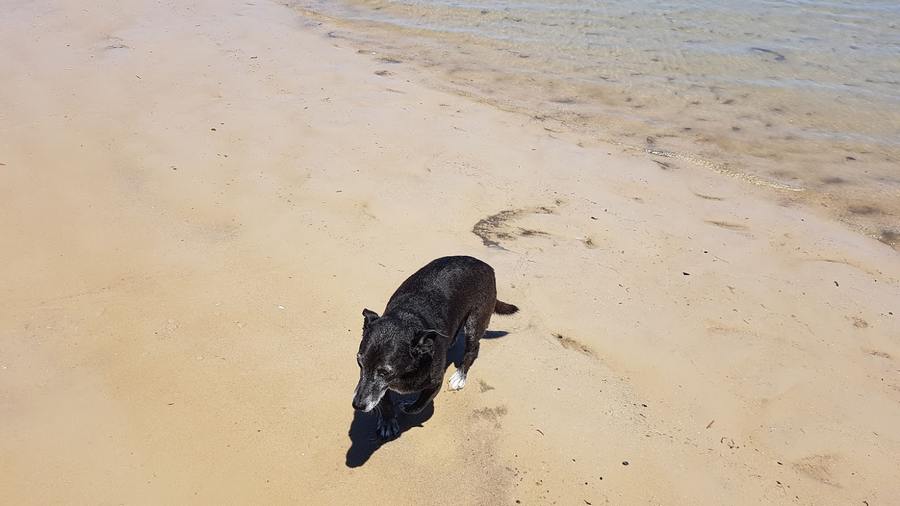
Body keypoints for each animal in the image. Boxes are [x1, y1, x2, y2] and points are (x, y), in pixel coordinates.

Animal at [354, 256, 520, 438]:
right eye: (359, 363)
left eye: (385, 372)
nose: (357, 405)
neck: (408, 317)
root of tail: (486, 266)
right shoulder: (377, 385)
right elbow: (384, 400)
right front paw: (387, 421)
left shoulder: (434, 383)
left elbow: (418, 406)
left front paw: (407, 407)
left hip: (475, 322)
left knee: (473, 350)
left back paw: (460, 376)